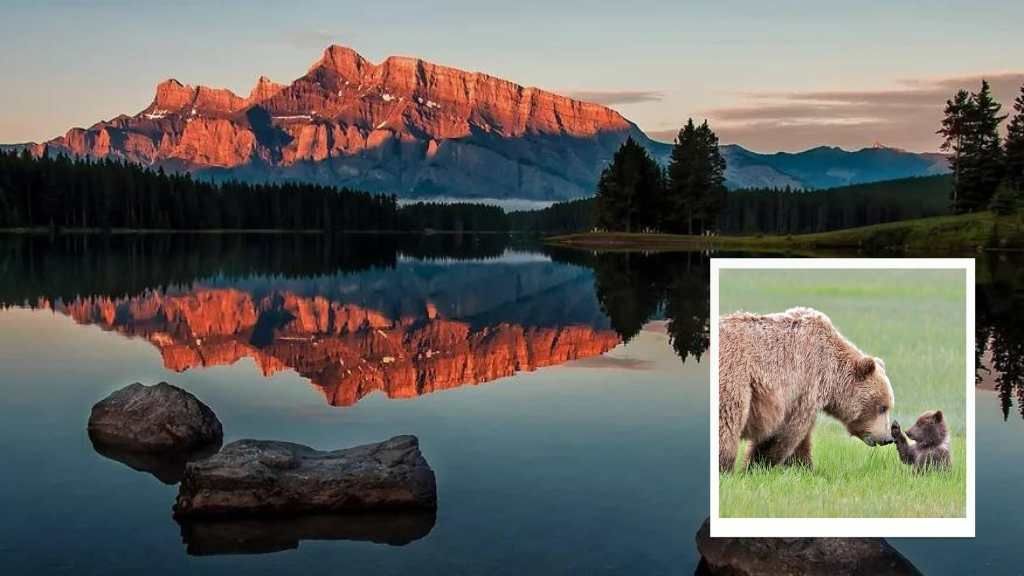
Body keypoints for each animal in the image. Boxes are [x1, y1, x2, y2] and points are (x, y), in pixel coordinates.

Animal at [718, 307, 894, 472]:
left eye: (888, 406)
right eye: (882, 407)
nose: (887, 438)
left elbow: (801, 442)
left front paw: (803, 466)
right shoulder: (805, 383)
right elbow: (786, 431)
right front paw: (758, 465)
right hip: (735, 377)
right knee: (727, 422)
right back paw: (725, 467)